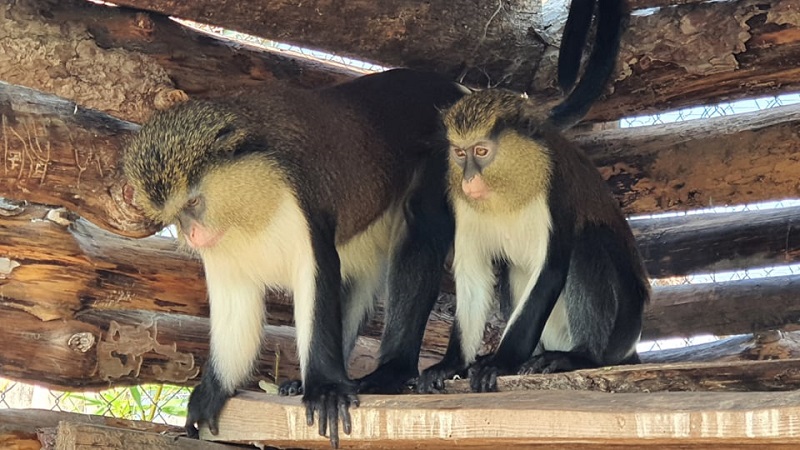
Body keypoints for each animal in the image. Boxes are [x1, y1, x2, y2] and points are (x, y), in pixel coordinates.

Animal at [122, 68, 466, 448]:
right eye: (176, 217)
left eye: (193, 203)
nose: (194, 235)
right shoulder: (223, 252)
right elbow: (236, 304)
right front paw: (212, 391)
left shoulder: (299, 205)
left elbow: (316, 275)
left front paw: (325, 388)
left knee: (421, 227)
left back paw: (391, 371)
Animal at [416, 87, 652, 390]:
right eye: (459, 153)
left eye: (481, 151)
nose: (468, 180)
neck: (506, 190)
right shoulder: (464, 206)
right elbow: (474, 276)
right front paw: (451, 365)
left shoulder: (555, 190)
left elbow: (549, 270)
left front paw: (499, 363)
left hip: (623, 329)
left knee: (588, 243)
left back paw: (581, 357)